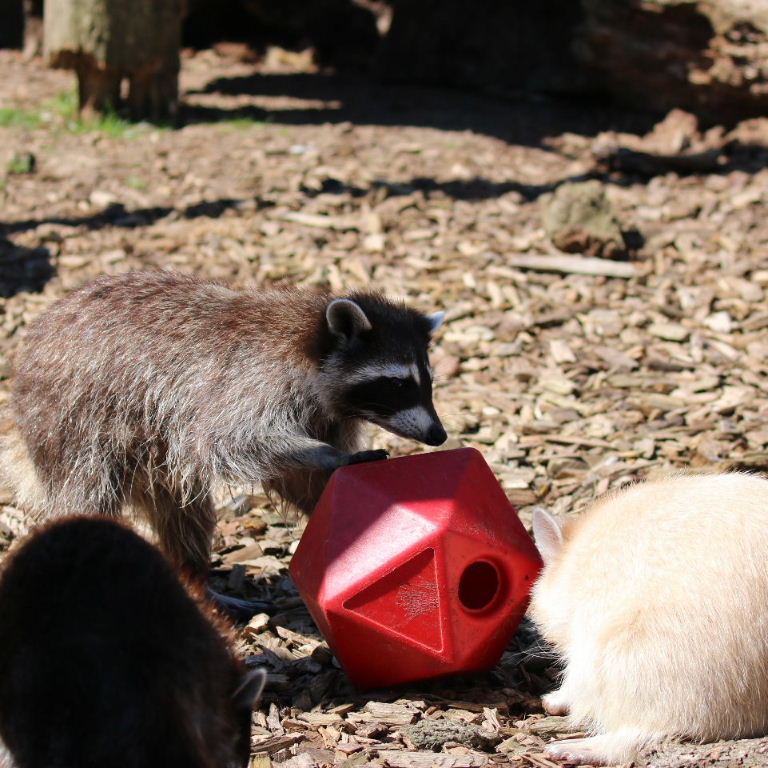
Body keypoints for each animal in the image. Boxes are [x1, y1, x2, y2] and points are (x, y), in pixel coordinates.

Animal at [6, 270, 446, 578]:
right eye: (397, 384)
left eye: (428, 382)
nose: (438, 434)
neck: (310, 339)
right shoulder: (248, 383)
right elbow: (231, 442)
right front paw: (328, 456)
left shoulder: (321, 412)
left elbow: (296, 478)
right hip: (73, 417)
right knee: (85, 491)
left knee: (181, 507)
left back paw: (191, 569)